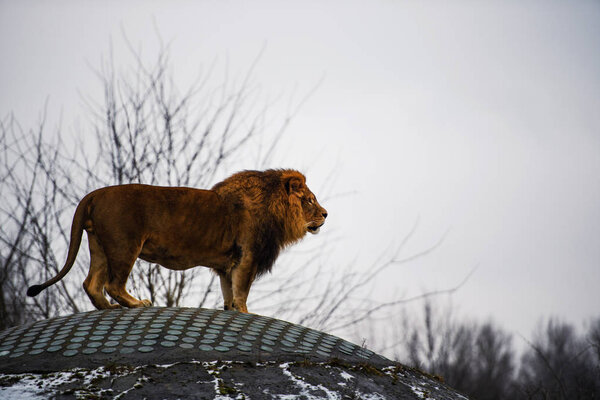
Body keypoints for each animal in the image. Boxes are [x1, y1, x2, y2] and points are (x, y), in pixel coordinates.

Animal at [25, 169, 328, 312]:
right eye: (310, 200)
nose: (326, 214)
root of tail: (95, 193)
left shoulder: (227, 265)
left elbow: (228, 292)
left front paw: (231, 310)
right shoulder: (248, 256)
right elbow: (242, 291)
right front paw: (246, 313)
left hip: (99, 245)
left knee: (91, 283)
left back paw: (108, 308)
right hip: (125, 246)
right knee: (113, 284)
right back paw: (137, 304)